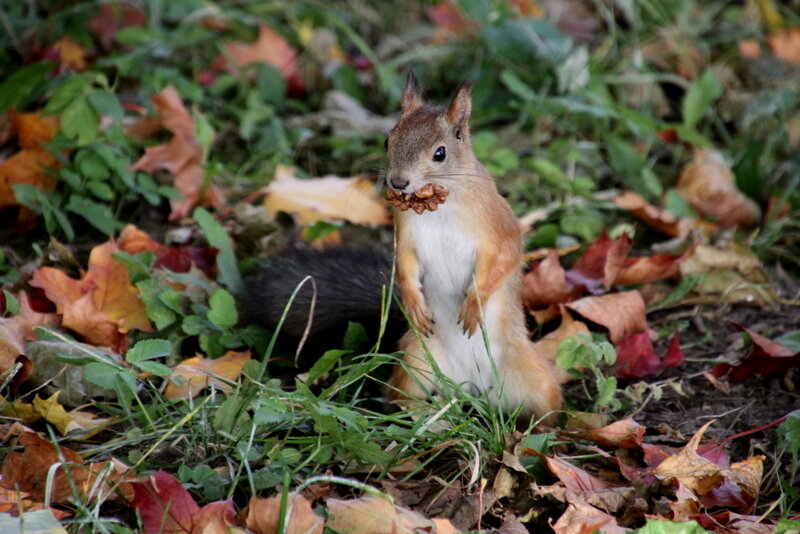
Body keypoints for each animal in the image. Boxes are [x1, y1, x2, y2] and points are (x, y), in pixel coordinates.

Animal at [241, 72, 560, 422]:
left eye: (440, 153)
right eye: (387, 141)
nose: (398, 182)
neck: (438, 205)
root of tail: (472, 389)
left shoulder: (498, 229)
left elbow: (504, 259)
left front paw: (474, 304)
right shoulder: (406, 233)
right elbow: (405, 265)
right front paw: (413, 302)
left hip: (531, 375)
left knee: (547, 406)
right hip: (414, 361)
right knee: (401, 397)